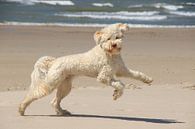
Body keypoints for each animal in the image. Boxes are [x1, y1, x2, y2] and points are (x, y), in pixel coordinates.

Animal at [17, 23, 152, 116]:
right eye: (108, 39)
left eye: (118, 37)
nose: (114, 44)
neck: (110, 54)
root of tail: (53, 61)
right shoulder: (103, 77)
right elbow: (120, 84)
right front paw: (116, 94)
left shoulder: (121, 70)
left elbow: (135, 74)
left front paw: (147, 80)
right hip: (51, 83)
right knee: (34, 94)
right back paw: (21, 109)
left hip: (65, 86)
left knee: (55, 101)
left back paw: (62, 112)